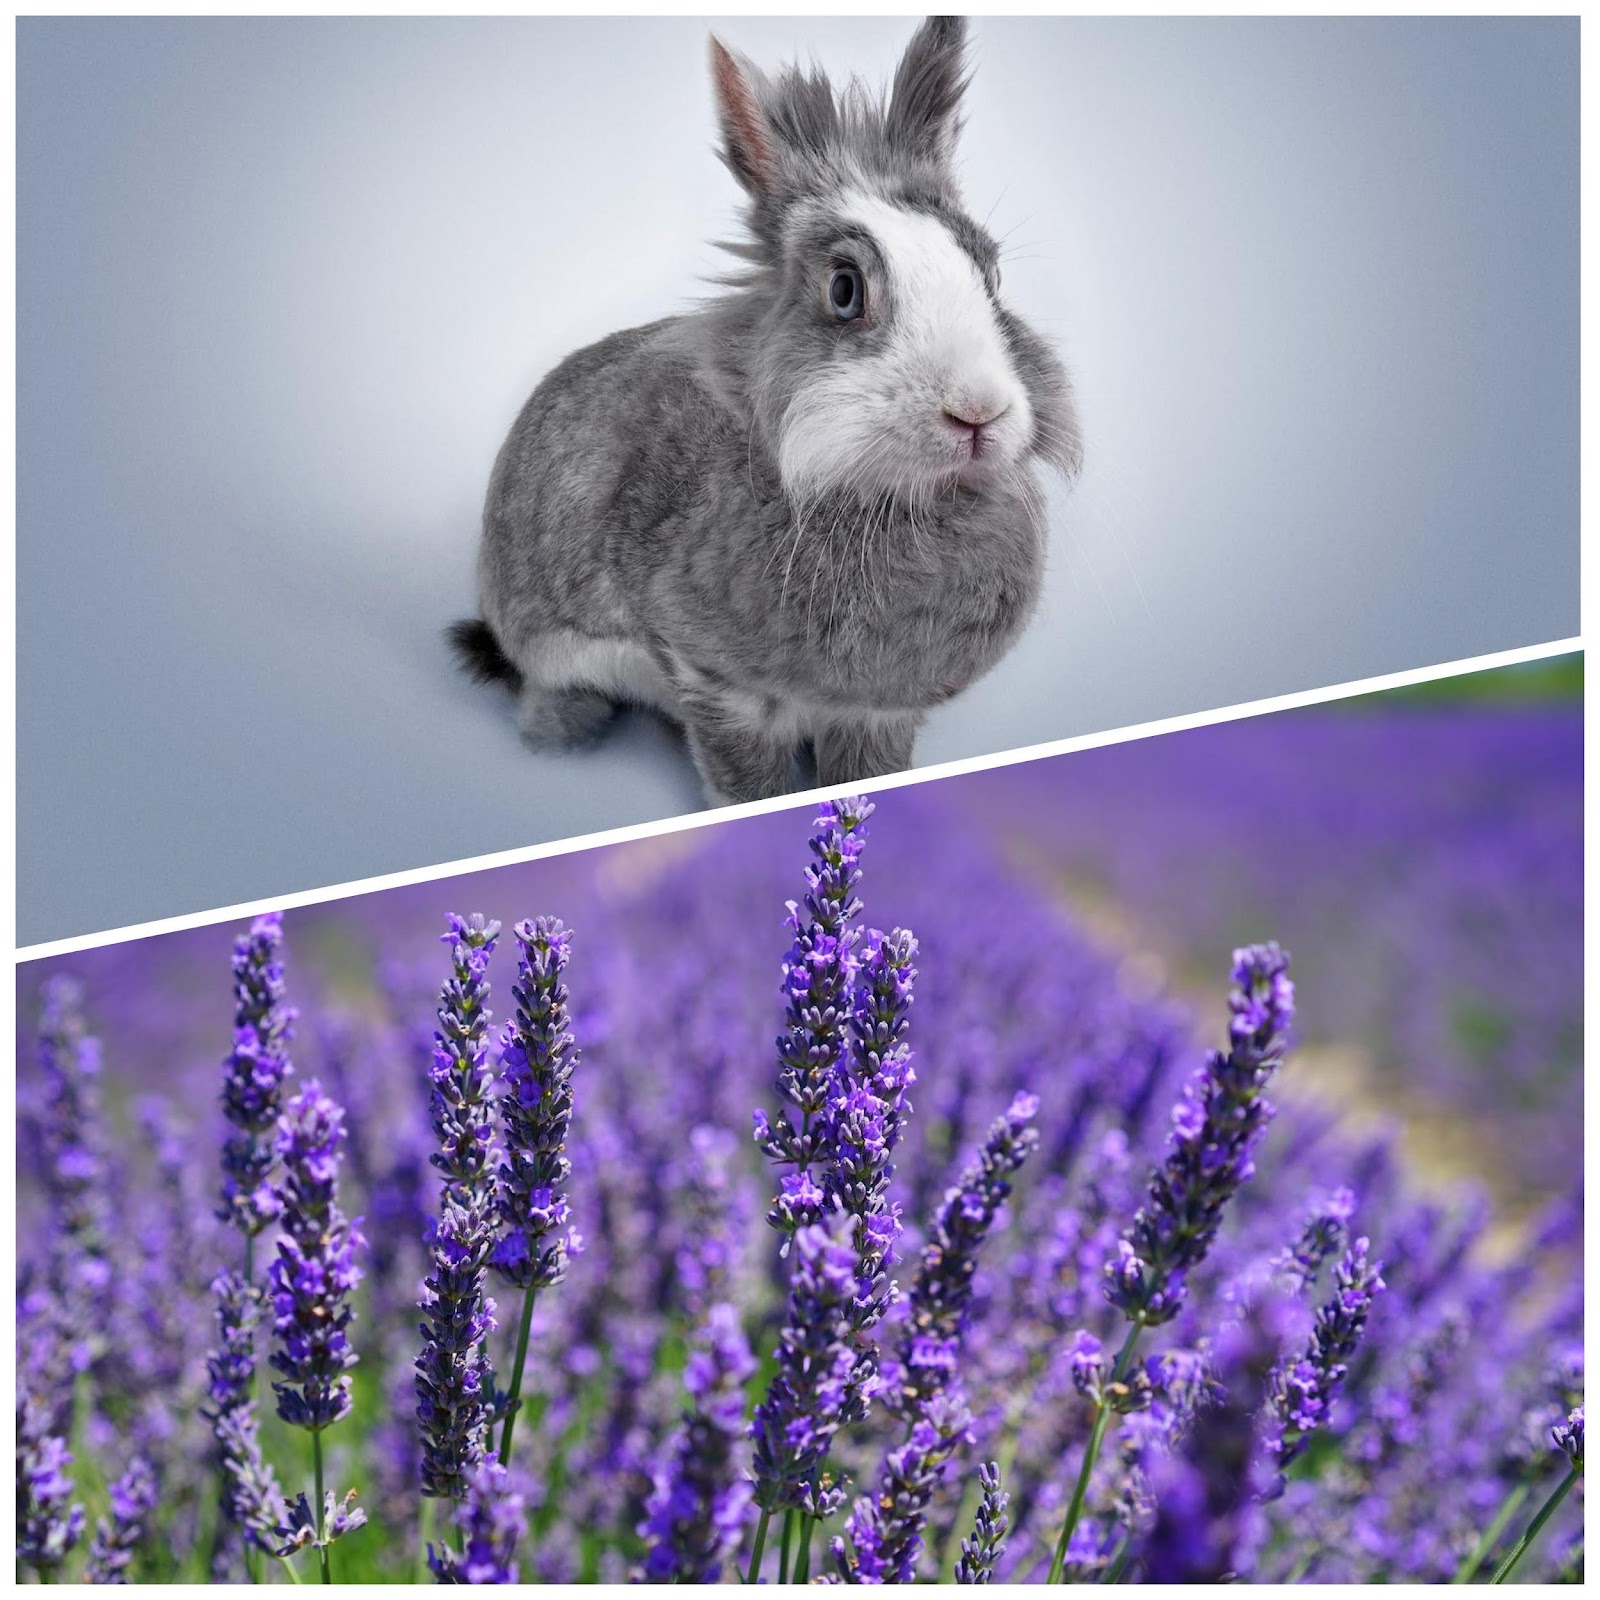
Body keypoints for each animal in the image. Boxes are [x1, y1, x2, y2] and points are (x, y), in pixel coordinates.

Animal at [449, 15, 1080, 804]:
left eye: (991, 275)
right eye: (844, 290)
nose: (979, 412)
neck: (883, 500)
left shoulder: (878, 713)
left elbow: (867, 772)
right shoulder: (717, 686)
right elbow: (744, 784)